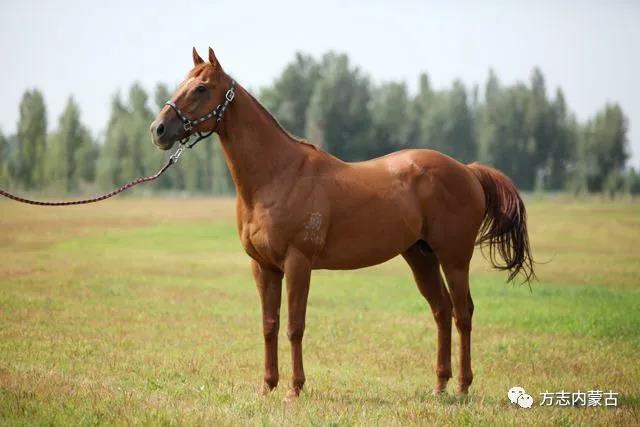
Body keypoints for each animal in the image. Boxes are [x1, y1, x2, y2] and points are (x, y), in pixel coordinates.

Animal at [149, 47, 534, 400]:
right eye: (183, 83)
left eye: (201, 88)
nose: (158, 129)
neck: (278, 174)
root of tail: (467, 170)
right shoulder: (263, 267)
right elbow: (269, 326)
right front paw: (267, 387)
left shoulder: (297, 263)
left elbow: (295, 327)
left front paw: (294, 389)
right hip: (420, 255)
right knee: (441, 310)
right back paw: (440, 385)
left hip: (454, 258)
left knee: (462, 313)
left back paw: (464, 387)